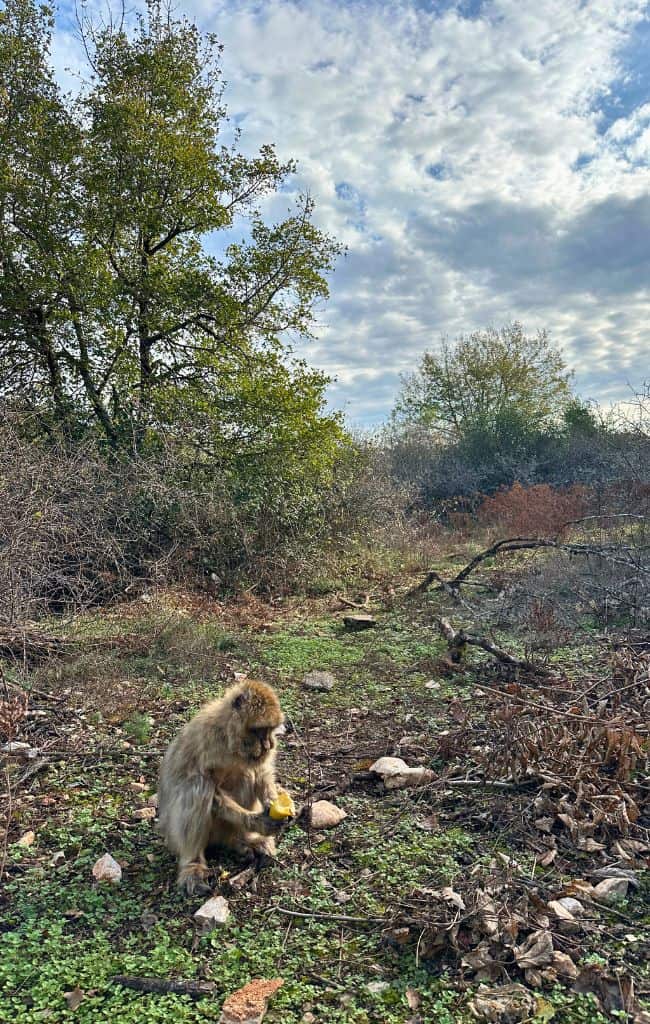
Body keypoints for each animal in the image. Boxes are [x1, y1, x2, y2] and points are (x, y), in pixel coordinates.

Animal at [157, 679, 288, 895]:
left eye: (270, 730)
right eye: (260, 730)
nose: (269, 744)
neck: (230, 741)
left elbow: (260, 771)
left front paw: (273, 800)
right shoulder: (208, 740)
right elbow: (208, 786)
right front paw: (256, 822)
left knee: (246, 774)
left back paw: (245, 839)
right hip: (180, 836)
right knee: (197, 786)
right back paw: (192, 864)